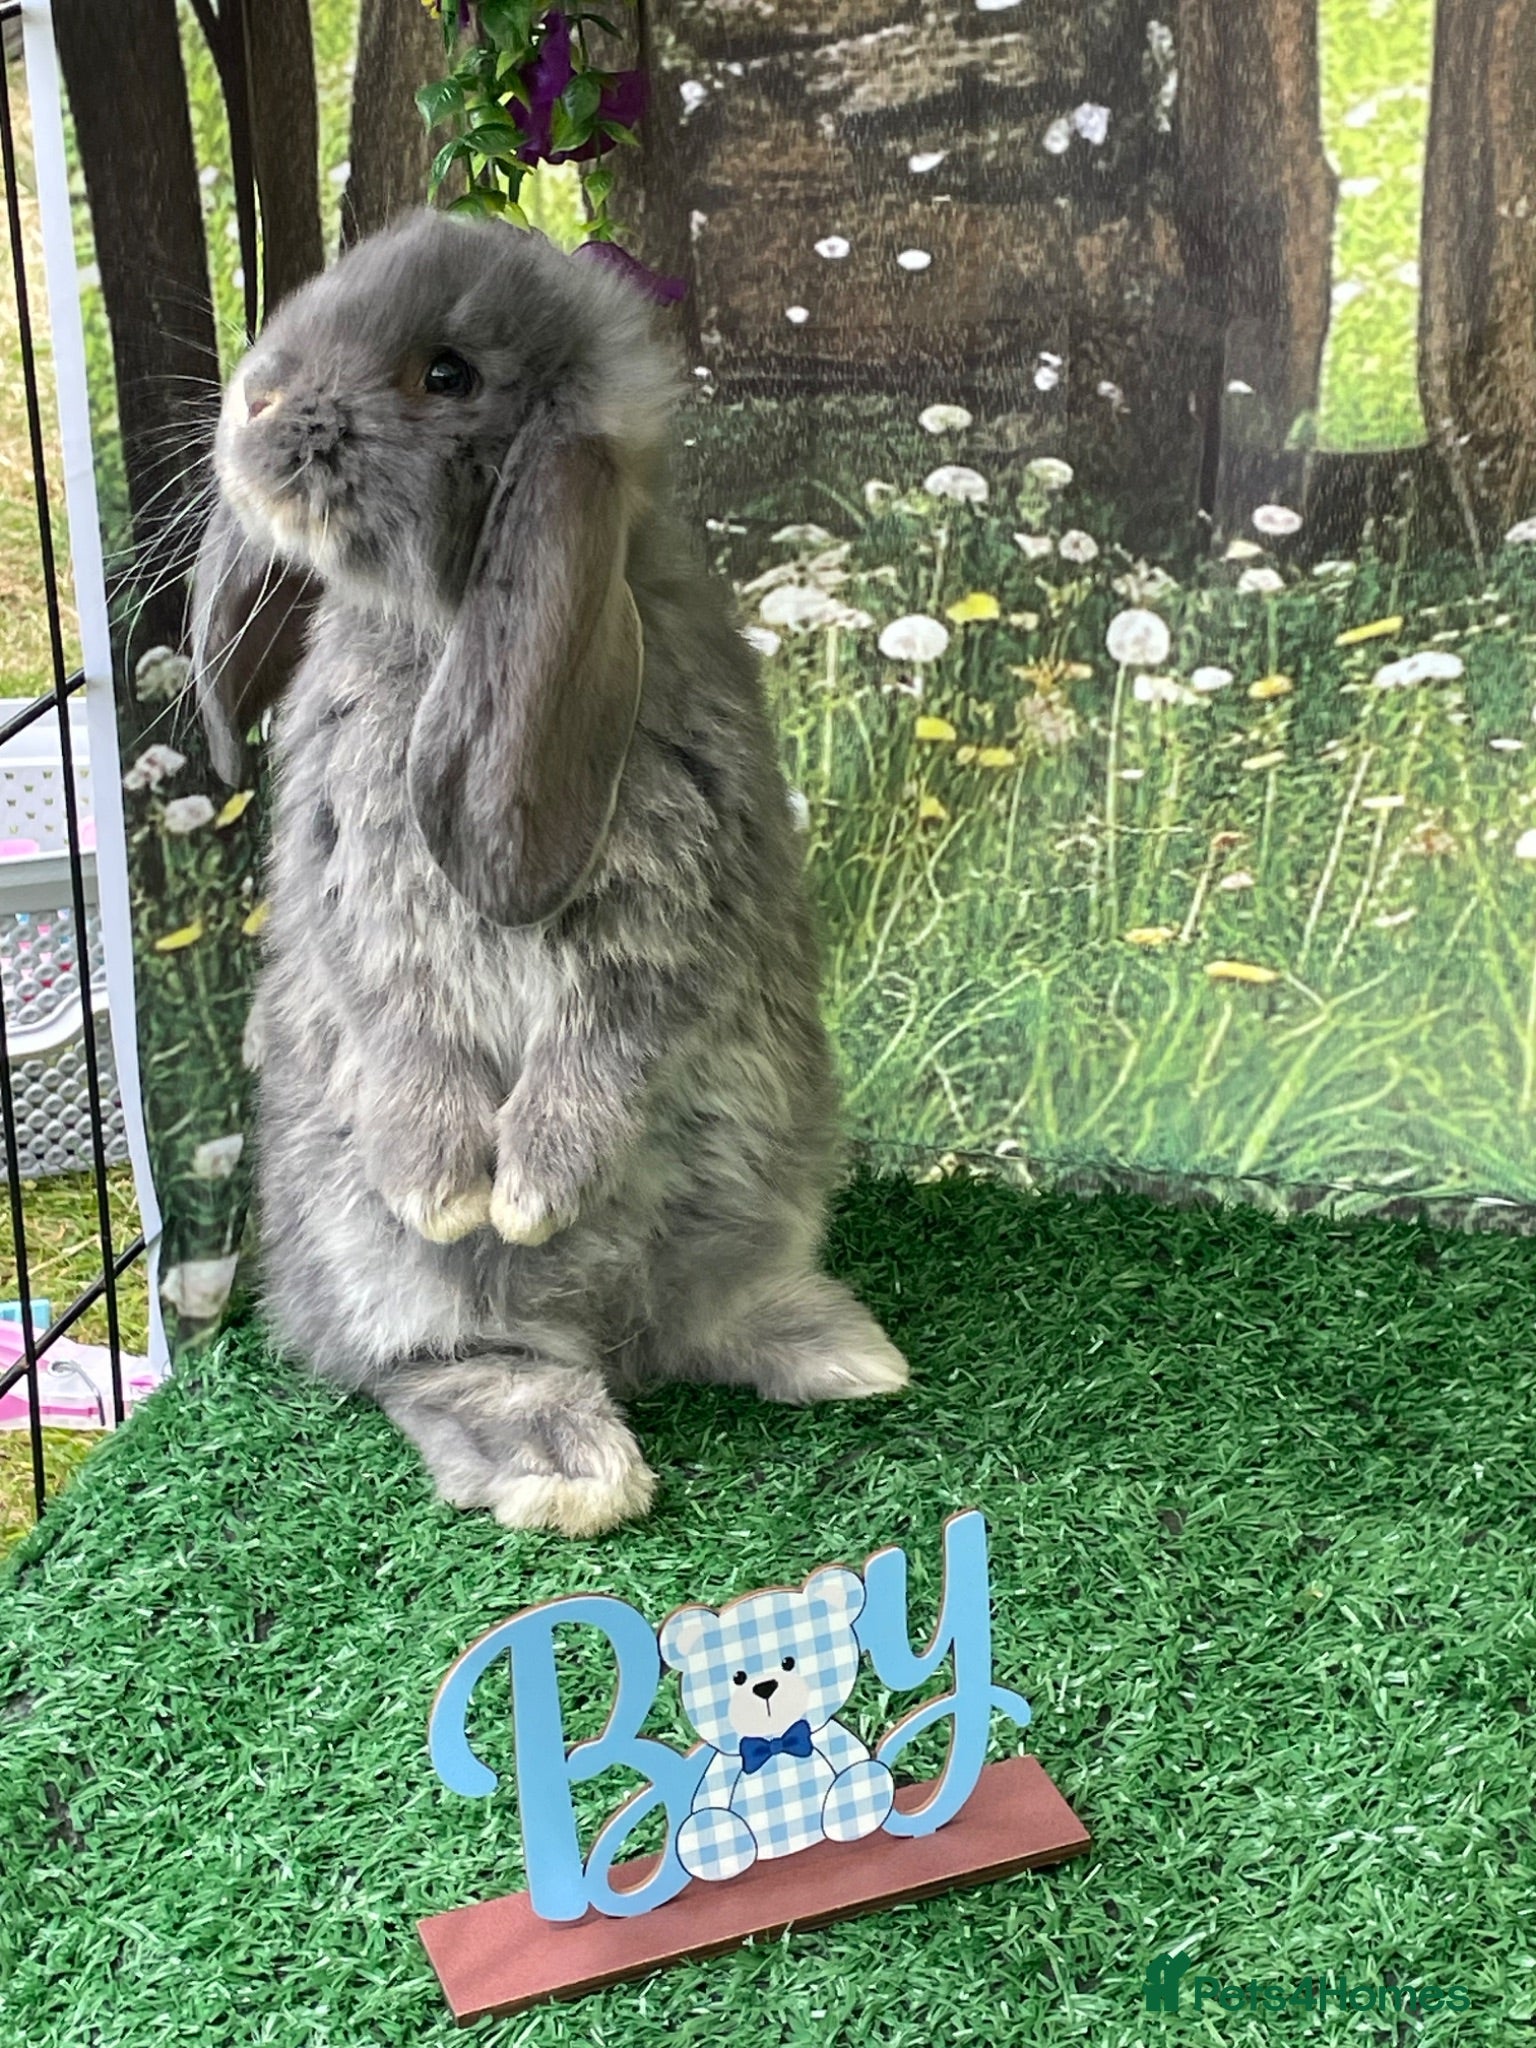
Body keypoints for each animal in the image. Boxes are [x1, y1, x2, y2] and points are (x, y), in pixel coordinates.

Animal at [189, 209, 908, 1537]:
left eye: (446, 373)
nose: (253, 399)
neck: (443, 631)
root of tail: (612, 1336)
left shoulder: (662, 921)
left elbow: (603, 1049)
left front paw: (528, 1189)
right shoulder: (364, 901)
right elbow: (405, 1029)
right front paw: (454, 1188)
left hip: (763, 1184)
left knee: (698, 1318)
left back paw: (836, 1348)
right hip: (386, 1267)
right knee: (440, 1362)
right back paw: (567, 1463)